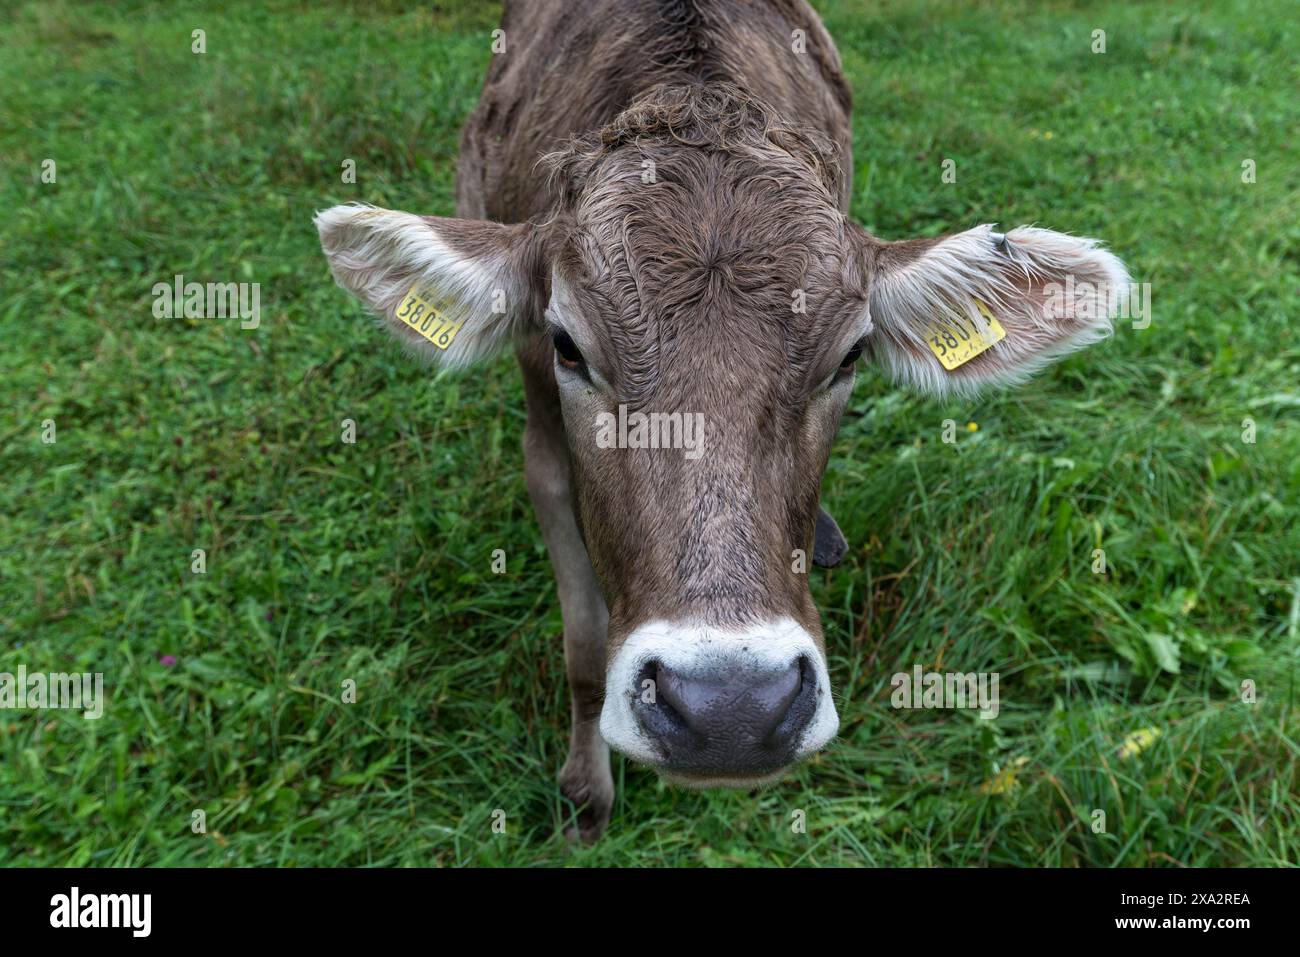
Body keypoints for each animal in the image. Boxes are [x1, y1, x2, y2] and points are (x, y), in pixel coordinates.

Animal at [315, 0, 1128, 841]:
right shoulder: (543, 439)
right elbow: (583, 645)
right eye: (568, 344)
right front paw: (584, 792)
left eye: (850, 355)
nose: (731, 711)